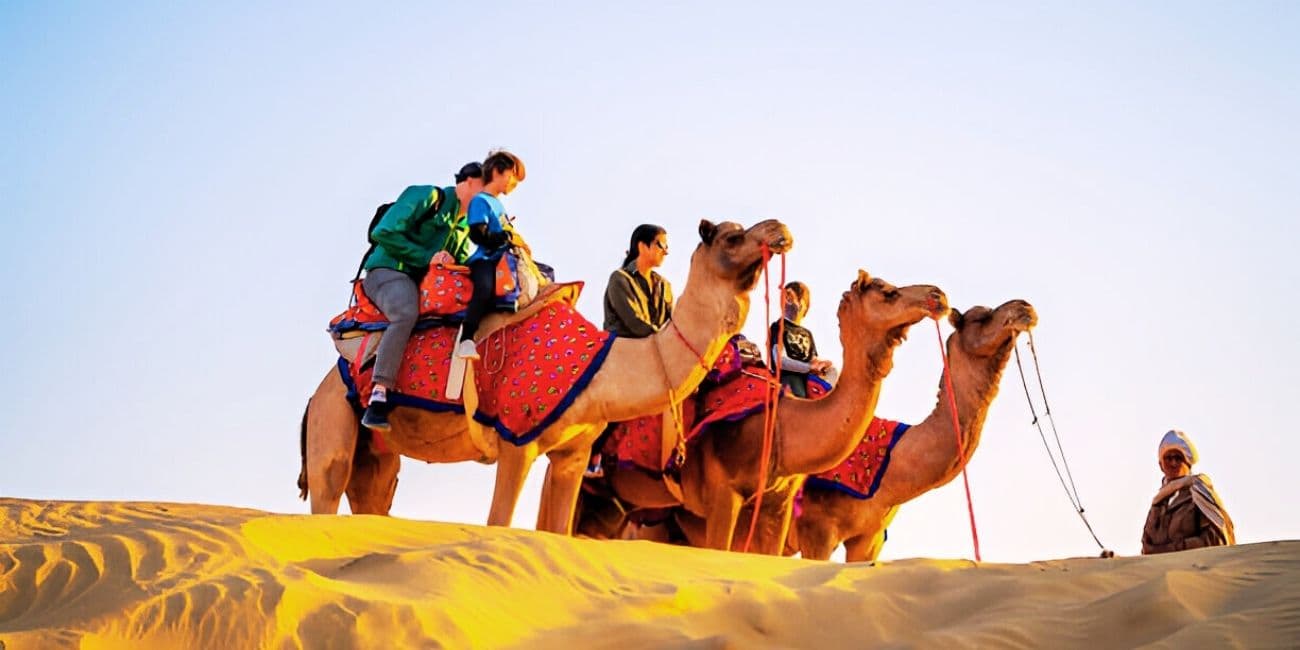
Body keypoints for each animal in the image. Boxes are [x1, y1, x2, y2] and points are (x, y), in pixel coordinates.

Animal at [298, 219, 794, 536]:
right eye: (732, 236)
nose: (780, 230)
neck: (601, 368)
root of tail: (316, 393)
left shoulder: (574, 455)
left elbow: (556, 532)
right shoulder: (516, 440)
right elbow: (499, 523)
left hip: (376, 456)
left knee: (372, 499)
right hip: (333, 417)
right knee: (327, 488)